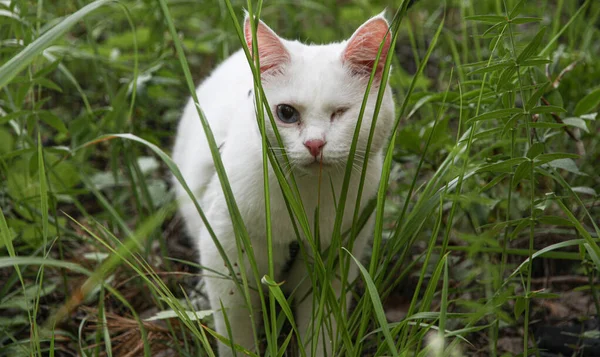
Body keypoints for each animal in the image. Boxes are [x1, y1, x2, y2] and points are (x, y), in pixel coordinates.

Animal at [173, 12, 396, 354]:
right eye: (286, 113)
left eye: (341, 113)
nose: (315, 144)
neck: (306, 199)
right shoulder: (227, 258)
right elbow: (237, 332)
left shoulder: (333, 263)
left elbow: (321, 329)